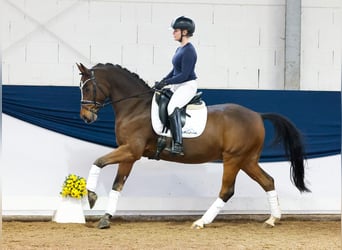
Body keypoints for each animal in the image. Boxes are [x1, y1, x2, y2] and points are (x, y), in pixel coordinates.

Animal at [77, 63, 310, 230]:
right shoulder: (130, 154)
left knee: (227, 190)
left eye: (87, 87)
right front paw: (106, 218)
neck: (135, 107)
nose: (86, 117)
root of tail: (257, 115)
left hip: (233, 159)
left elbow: (98, 162)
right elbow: (118, 185)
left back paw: (201, 222)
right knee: (268, 181)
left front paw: (91, 196)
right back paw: (272, 219)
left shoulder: (130, 151)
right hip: (247, 160)